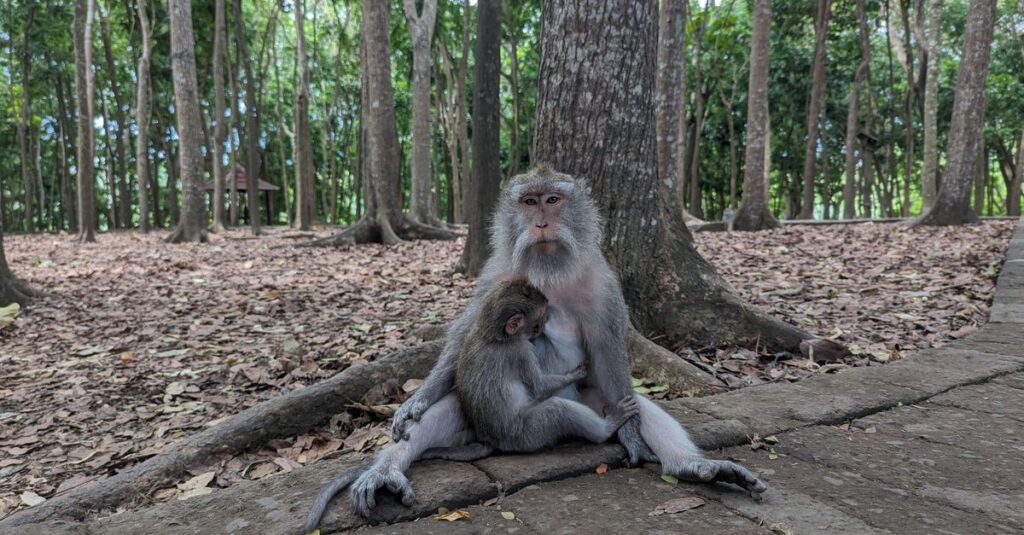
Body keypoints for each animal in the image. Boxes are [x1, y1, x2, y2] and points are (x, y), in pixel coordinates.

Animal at [456, 279, 639, 452]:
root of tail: (492, 440)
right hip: (524, 435)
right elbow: (539, 387)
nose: (544, 325)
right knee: (557, 410)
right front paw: (574, 374)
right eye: (539, 320)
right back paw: (607, 427)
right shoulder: (522, 351)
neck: (493, 335)